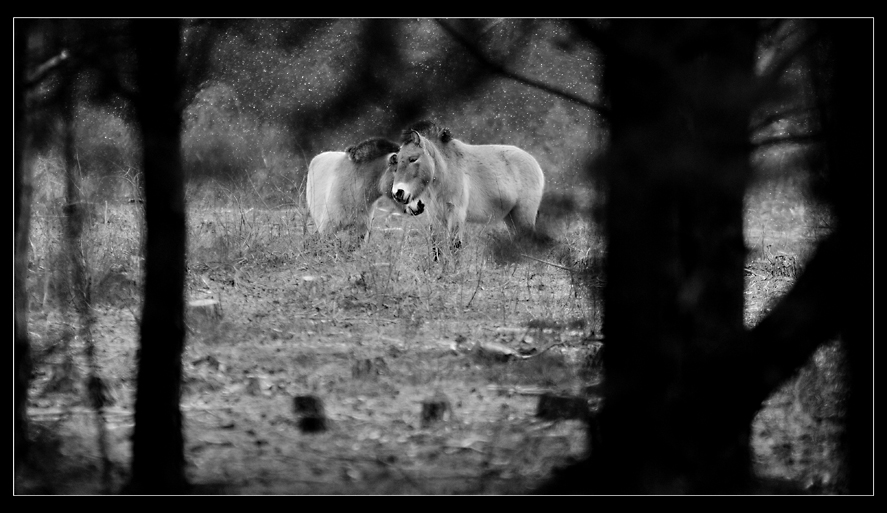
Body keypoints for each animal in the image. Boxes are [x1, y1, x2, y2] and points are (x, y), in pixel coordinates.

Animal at [390, 120, 544, 256]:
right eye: (397, 160)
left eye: (413, 159)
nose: (398, 193)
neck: (446, 172)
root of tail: (535, 164)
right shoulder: (435, 217)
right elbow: (436, 248)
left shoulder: (456, 214)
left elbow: (454, 247)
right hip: (511, 218)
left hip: (524, 217)